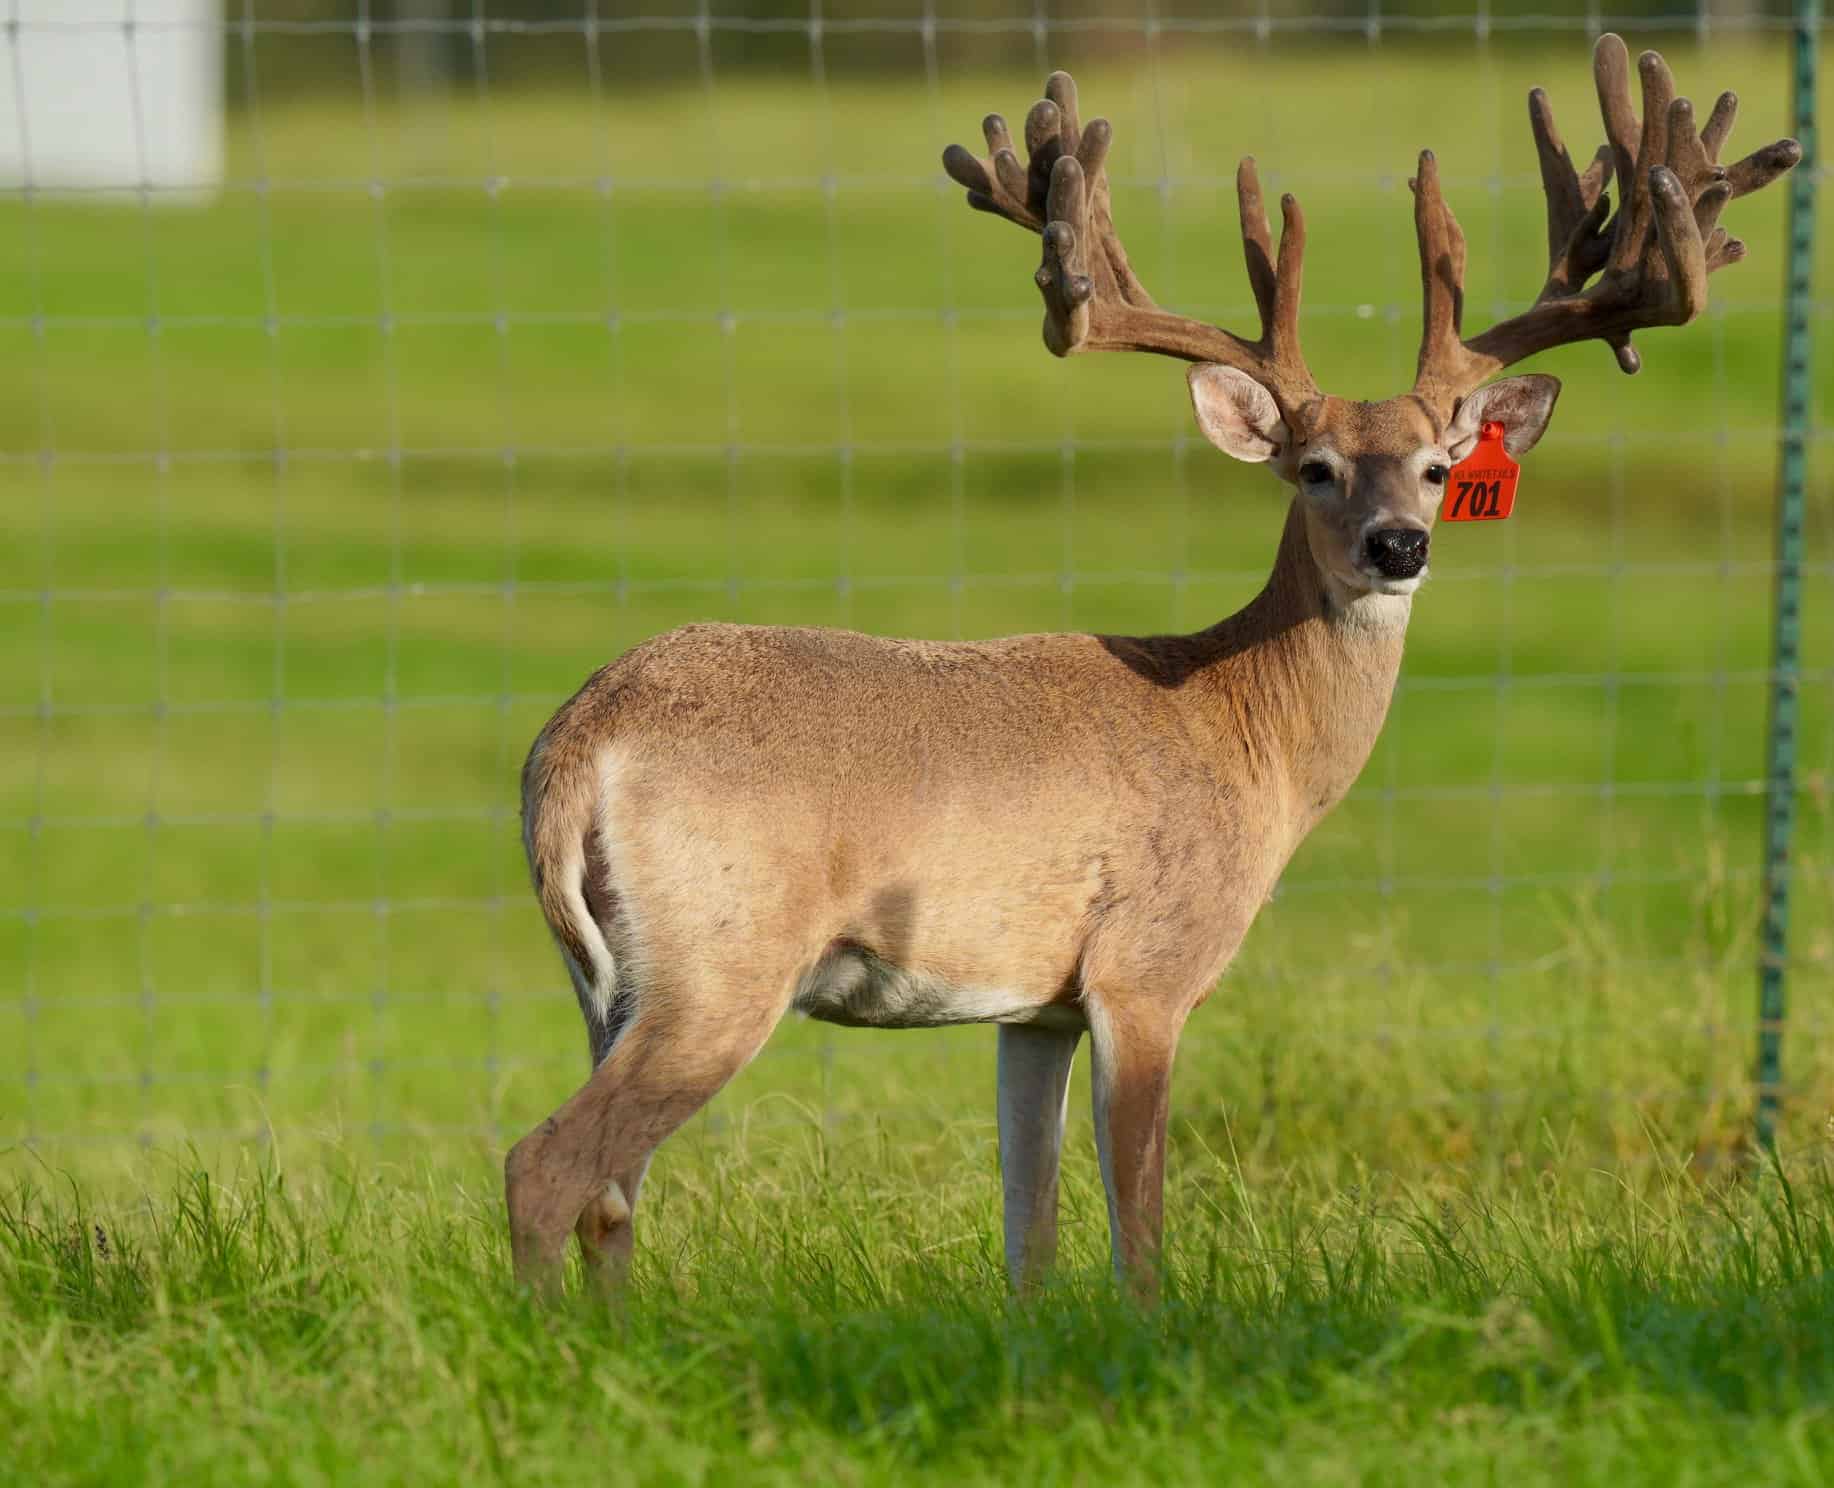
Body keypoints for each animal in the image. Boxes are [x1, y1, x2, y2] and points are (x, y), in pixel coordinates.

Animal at [504, 37, 1798, 1299]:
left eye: (1437, 468)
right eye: (1314, 469)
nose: (1399, 545)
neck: (1246, 731)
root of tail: (578, 741)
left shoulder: (1032, 1007)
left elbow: (1029, 1236)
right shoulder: (1147, 964)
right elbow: (1139, 1223)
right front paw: (1149, 1334)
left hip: (608, 980)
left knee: (609, 1194)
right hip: (724, 955)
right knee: (547, 1164)